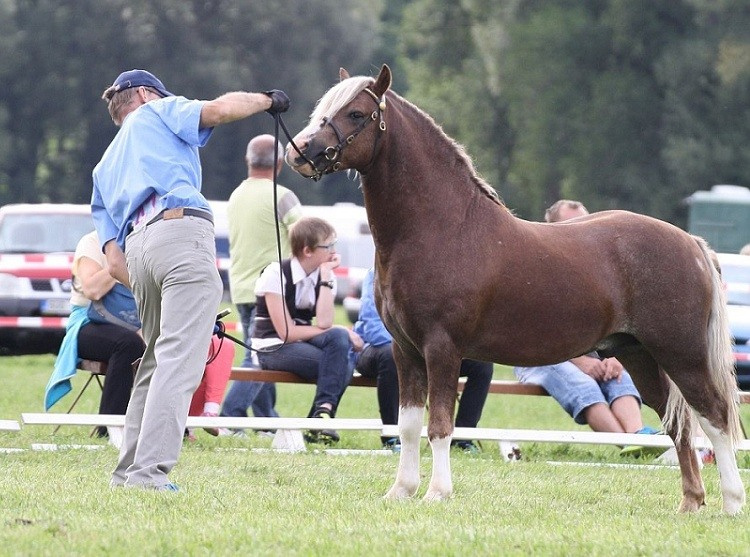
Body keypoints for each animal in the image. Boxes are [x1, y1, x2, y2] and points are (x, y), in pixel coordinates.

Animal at [285, 64, 745, 514]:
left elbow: (441, 426)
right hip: (640, 356)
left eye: (356, 113)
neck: (438, 229)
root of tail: (691, 243)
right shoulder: (405, 350)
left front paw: (437, 493)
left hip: (682, 354)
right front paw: (401, 491)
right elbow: (410, 425)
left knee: (715, 416)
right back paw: (691, 502)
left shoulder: (442, 348)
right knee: (676, 421)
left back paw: (732, 502)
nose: (298, 152)